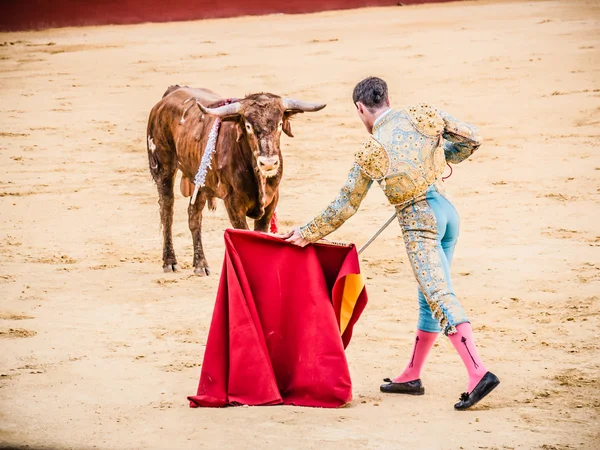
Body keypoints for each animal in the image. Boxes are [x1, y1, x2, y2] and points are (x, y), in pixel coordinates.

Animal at [145, 84, 326, 274]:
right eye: (248, 125)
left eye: (279, 124)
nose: (269, 163)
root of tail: (172, 92)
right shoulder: (233, 203)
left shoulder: (271, 202)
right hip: (162, 168)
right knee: (167, 210)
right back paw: (169, 261)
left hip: (200, 181)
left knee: (194, 215)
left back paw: (200, 264)